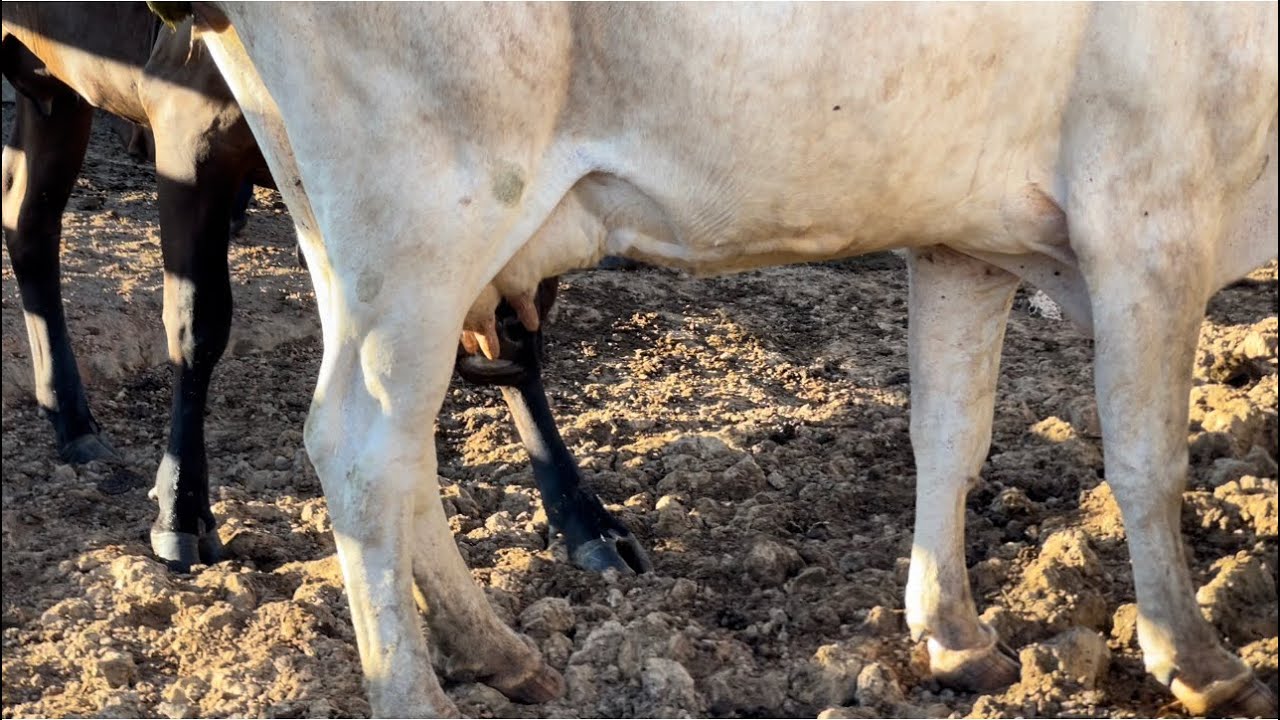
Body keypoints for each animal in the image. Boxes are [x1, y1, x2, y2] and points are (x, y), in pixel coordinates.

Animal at [2, 2, 647, 575]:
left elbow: (514, 342)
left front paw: (585, 521)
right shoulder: (190, 132)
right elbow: (196, 324)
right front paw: (181, 512)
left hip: (51, 92)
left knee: (28, 227)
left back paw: (72, 421)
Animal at [158, 2, 1276, 717]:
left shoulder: (963, 240)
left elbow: (949, 437)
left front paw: (953, 633)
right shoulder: (1153, 215)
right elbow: (1147, 461)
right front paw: (1193, 654)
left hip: (334, 220)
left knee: (400, 447)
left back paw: (500, 652)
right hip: (426, 210)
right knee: (356, 443)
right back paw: (414, 696)